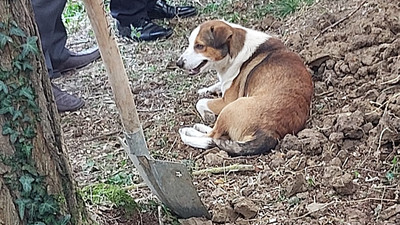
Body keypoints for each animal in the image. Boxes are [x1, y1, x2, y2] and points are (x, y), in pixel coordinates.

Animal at [176, 20, 312, 156]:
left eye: (199, 46)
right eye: (190, 44)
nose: (178, 63)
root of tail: (271, 133)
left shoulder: (227, 101)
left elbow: (200, 102)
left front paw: (207, 114)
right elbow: (217, 85)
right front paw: (205, 90)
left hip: (230, 108)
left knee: (213, 136)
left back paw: (190, 130)